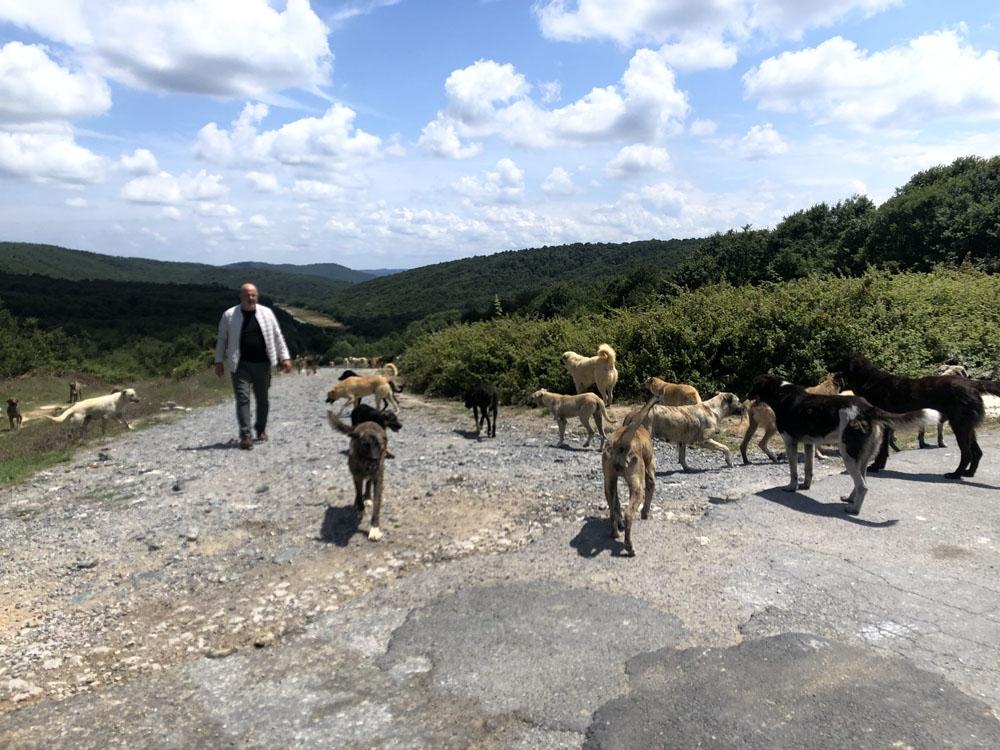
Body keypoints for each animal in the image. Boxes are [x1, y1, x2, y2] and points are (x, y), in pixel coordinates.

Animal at [330, 414, 388, 544]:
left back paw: (367, 497)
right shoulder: (357, 476)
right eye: (365, 444)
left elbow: (377, 505)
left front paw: (374, 529)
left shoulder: (378, 479)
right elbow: (358, 492)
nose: (375, 460)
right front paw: (360, 509)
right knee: (359, 490)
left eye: (378, 444)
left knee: (368, 483)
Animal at [596, 400, 660, 560]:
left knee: (612, 510)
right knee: (628, 514)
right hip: (638, 487)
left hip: (609, 483)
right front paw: (645, 515)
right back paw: (629, 547)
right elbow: (649, 496)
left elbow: (616, 503)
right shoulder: (650, 474)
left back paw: (615, 532)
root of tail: (622, 442)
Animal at [752, 374, 936, 516]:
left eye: (753, 388)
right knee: (862, 480)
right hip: (861, 458)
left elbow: (794, 472)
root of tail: (868, 408)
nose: (747, 398)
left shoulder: (790, 442)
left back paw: (854, 510)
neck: (781, 393)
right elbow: (808, 469)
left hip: (848, 455)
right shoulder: (809, 444)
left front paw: (791, 487)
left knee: (863, 486)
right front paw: (805, 486)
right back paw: (850, 499)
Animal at [832, 354, 1000, 482]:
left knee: (967, 454)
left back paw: (955, 474)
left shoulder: (883, 425)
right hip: (967, 427)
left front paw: (875, 467)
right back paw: (969, 473)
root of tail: (972, 383)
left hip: (960, 426)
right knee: (977, 452)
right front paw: (879, 466)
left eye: (840, 364)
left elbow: (881, 450)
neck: (869, 382)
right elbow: (884, 449)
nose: (829, 370)